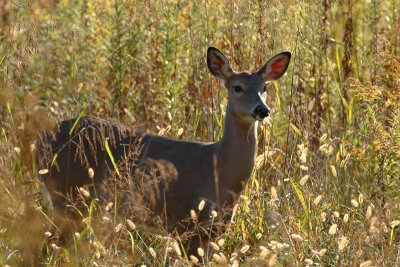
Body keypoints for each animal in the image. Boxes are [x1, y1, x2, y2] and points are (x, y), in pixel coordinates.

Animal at [36, 47, 290, 260]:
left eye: (264, 88)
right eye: (237, 87)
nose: (262, 110)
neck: (218, 169)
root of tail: (39, 140)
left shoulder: (212, 233)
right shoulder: (187, 224)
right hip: (68, 197)